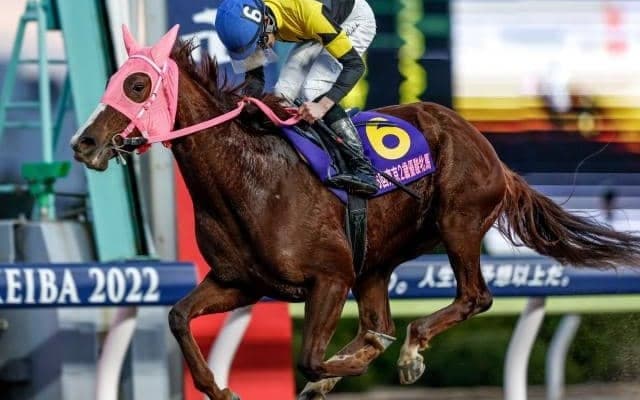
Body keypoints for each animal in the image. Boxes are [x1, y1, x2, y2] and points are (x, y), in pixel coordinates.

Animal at [71, 26, 640, 400]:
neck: (249, 178)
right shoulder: (241, 281)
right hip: (377, 261)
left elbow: (311, 358)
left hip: (457, 222)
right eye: (113, 80)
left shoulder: (329, 276)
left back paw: (410, 349)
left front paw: (344, 369)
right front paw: (221, 389)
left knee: (472, 297)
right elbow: (177, 316)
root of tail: (491, 153)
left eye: (137, 86)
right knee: (382, 317)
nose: (84, 143)